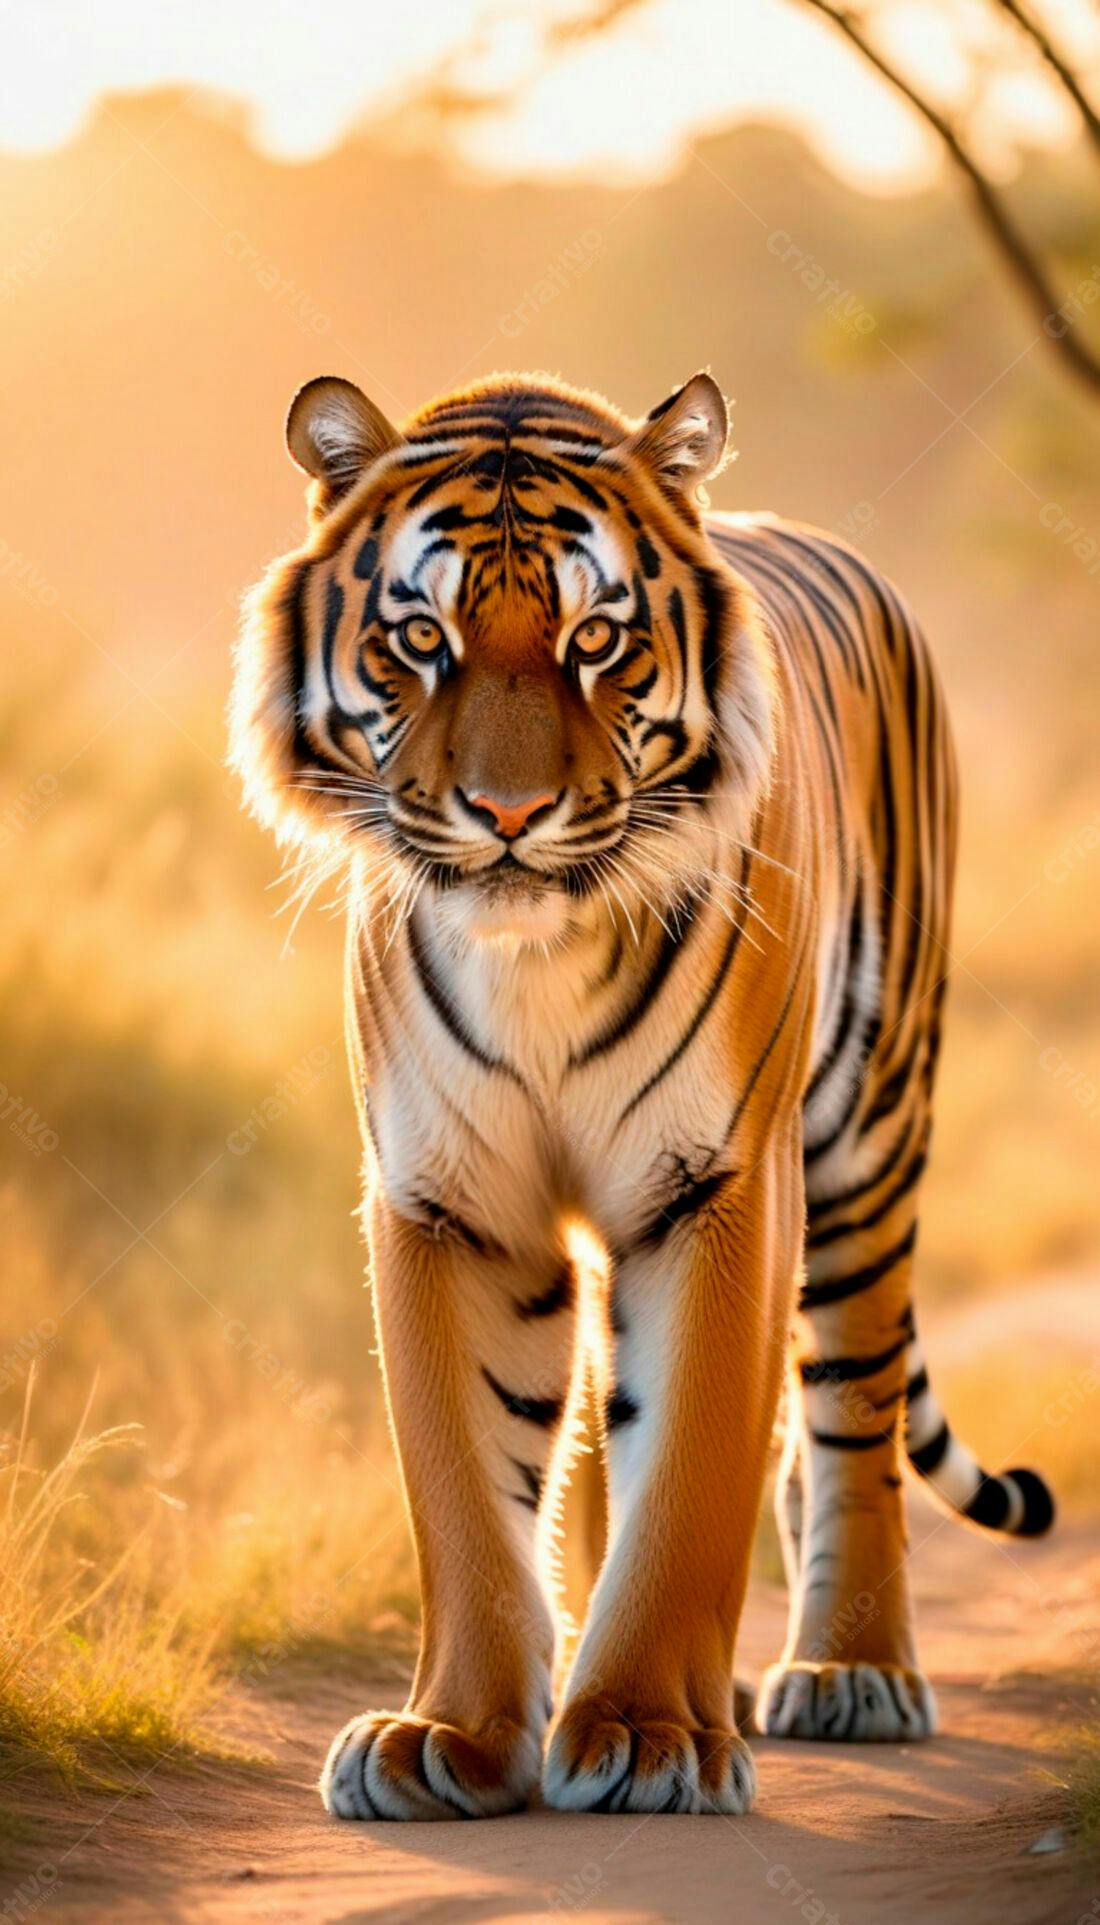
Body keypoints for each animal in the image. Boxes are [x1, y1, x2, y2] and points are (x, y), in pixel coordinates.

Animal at [230, 367, 1054, 1820]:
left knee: (850, 1410)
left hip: (871, 1137)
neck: (537, 963)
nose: (506, 813)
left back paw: (850, 1672)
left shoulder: (719, 1184)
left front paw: (647, 1732)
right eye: (421, 638)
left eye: (597, 638)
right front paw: (449, 1733)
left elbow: (693, 1461)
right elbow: (465, 1485)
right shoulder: (448, 1198)